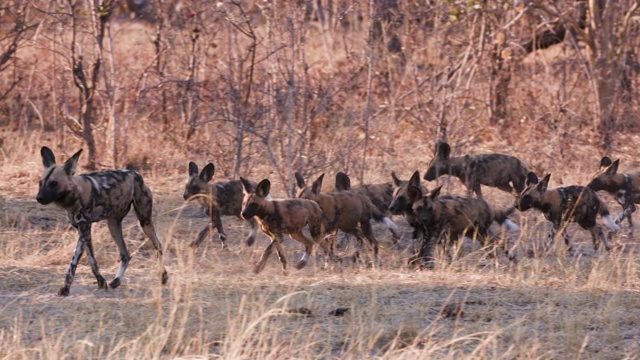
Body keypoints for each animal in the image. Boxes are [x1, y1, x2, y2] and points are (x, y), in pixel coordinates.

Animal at [36, 146, 169, 296]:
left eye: (54, 183)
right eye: (40, 183)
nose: (39, 198)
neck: (75, 195)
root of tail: (137, 174)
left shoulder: (85, 230)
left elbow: (74, 263)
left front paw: (66, 288)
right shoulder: (83, 232)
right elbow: (91, 260)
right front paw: (101, 282)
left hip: (144, 221)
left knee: (158, 245)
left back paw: (163, 276)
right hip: (113, 225)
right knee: (125, 254)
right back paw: (116, 281)